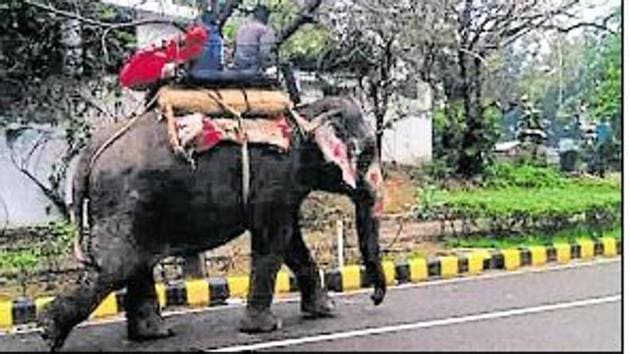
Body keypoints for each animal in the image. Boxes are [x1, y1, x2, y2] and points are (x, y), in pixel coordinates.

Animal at [38, 94, 390, 352]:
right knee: (117, 265)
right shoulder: (275, 178)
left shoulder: (284, 188)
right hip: (125, 200)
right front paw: (265, 328)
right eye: (366, 155)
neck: (305, 115)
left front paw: (325, 311)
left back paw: (154, 335)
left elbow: (292, 242)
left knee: (133, 263)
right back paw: (49, 333)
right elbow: (275, 239)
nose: (374, 299)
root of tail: (88, 156)